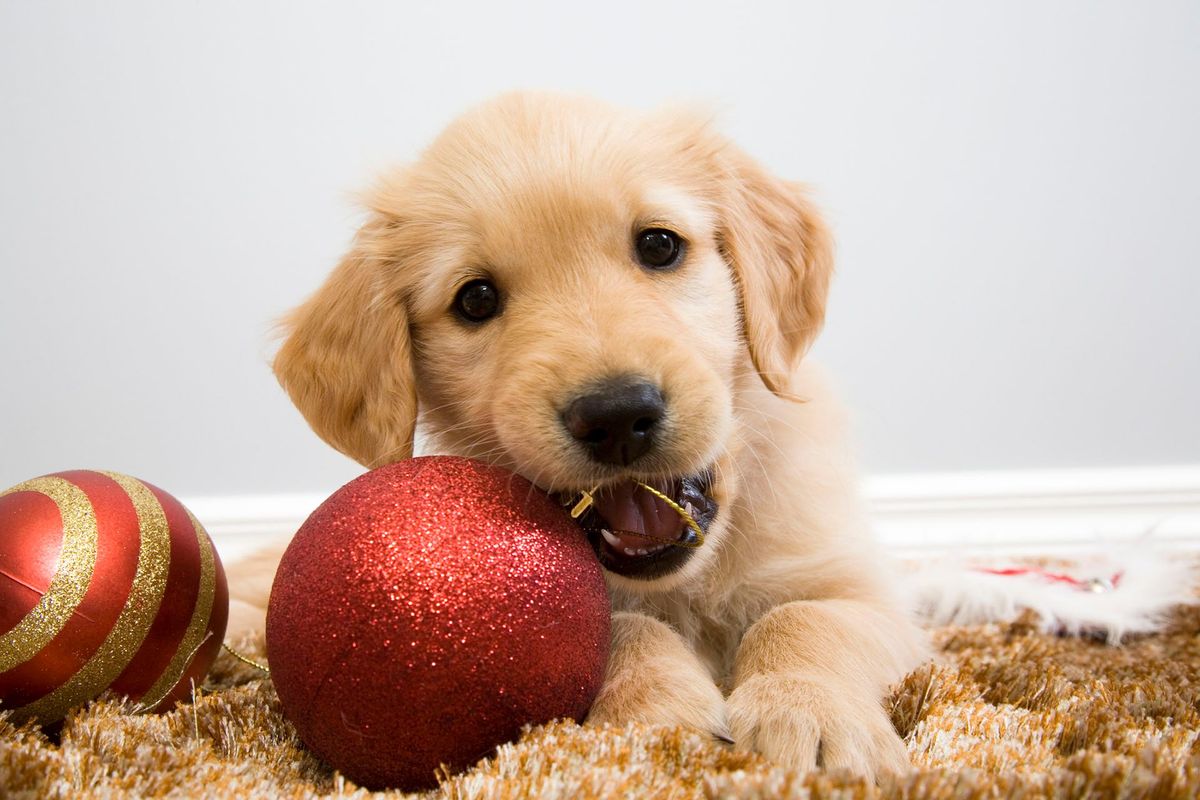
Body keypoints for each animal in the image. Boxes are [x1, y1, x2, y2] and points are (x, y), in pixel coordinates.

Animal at [246, 90, 936, 777]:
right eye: (476, 300)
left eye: (659, 245)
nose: (615, 418)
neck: (684, 585)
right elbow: (617, 628)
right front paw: (657, 722)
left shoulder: (870, 591)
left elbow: (805, 616)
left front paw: (809, 715)